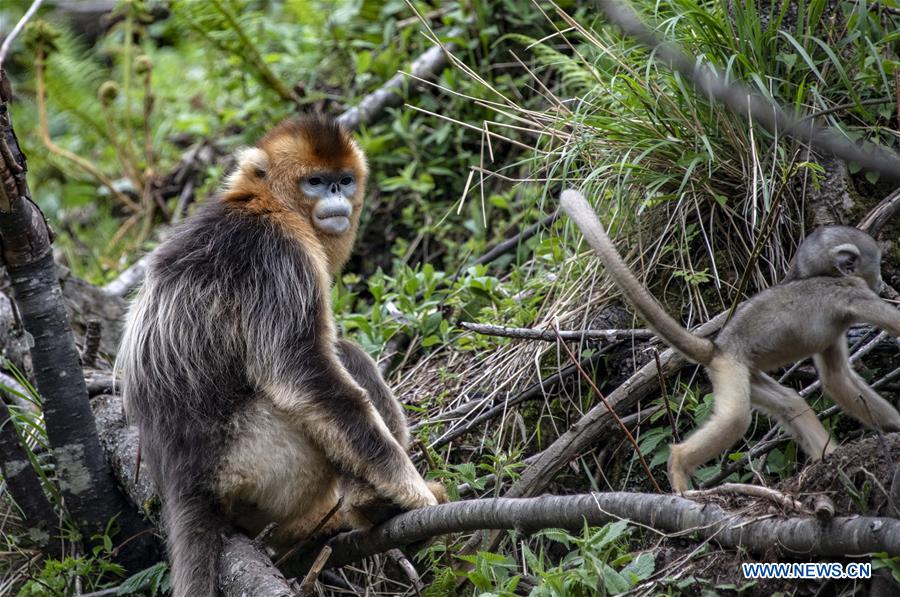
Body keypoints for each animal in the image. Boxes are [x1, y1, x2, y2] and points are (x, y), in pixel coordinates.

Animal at [116, 116, 445, 596]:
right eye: (315, 182)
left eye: (344, 180)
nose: (336, 196)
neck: (264, 204)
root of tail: (184, 483)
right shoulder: (279, 257)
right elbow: (304, 374)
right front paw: (408, 489)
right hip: (255, 459)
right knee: (340, 364)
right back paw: (370, 505)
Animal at [560, 189, 900, 493]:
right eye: (876, 264)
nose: (882, 281)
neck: (826, 276)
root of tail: (717, 349)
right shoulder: (853, 292)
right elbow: (892, 324)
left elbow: (835, 377)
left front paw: (896, 425)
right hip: (731, 370)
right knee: (736, 418)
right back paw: (679, 466)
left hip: (747, 374)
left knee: (791, 403)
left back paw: (826, 459)